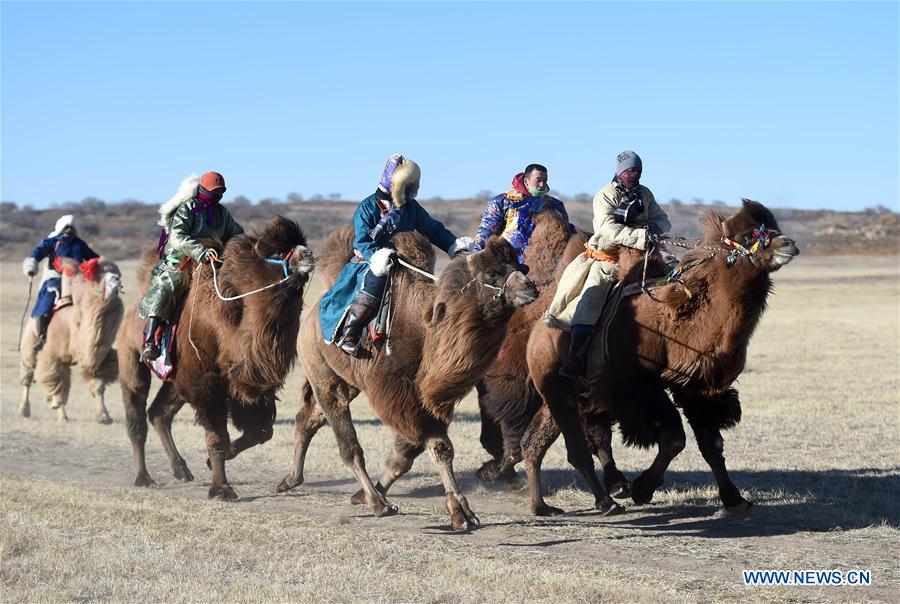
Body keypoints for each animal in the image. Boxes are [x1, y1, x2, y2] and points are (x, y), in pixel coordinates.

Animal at [19, 258, 123, 422]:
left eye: (116, 272)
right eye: (98, 275)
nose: (116, 279)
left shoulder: (95, 358)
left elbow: (97, 386)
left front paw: (104, 416)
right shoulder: (51, 356)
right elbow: (56, 385)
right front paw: (52, 402)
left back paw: (62, 416)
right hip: (29, 348)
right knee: (28, 379)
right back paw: (24, 411)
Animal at [118, 215, 316, 498]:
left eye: (301, 244)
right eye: (278, 253)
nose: (308, 255)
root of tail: (131, 313)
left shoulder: (244, 385)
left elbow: (260, 431)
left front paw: (211, 465)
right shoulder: (207, 383)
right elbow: (217, 436)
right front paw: (221, 489)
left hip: (175, 379)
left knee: (159, 414)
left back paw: (181, 470)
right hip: (133, 362)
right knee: (136, 418)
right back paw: (143, 477)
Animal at [278, 225, 536, 528]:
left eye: (520, 265)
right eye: (492, 273)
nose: (530, 286)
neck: (429, 332)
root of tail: (311, 317)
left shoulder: (427, 398)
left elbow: (422, 450)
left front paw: (462, 511)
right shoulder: (402, 393)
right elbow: (437, 444)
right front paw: (459, 511)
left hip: (345, 380)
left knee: (309, 417)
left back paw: (291, 480)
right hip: (321, 371)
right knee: (347, 445)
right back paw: (378, 504)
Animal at [524, 201, 800, 516]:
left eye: (774, 225)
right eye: (749, 233)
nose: (788, 243)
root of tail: (536, 332)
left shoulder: (695, 385)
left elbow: (711, 445)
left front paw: (735, 500)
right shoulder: (638, 387)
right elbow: (674, 438)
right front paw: (643, 489)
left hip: (572, 395)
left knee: (539, 442)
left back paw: (549, 504)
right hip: (559, 390)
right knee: (577, 449)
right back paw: (606, 502)